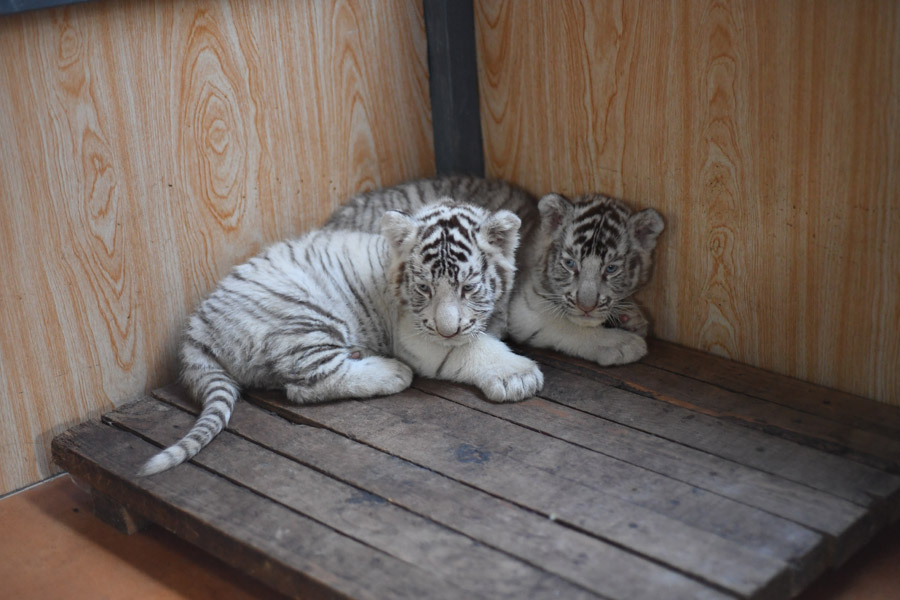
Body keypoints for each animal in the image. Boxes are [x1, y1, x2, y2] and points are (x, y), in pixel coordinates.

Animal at [138, 201, 543, 476]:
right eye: (425, 288)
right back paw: (390, 373)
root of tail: (196, 327)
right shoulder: (419, 337)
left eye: (468, 287)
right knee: (305, 385)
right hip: (307, 318)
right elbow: (469, 346)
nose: (448, 328)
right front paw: (516, 375)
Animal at [325, 175, 665, 366]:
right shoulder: (525, 311)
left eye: (611, 268)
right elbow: (568, 327)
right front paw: (621, 343)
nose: (587, 305)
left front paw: (631, 317)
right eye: (571, 264)